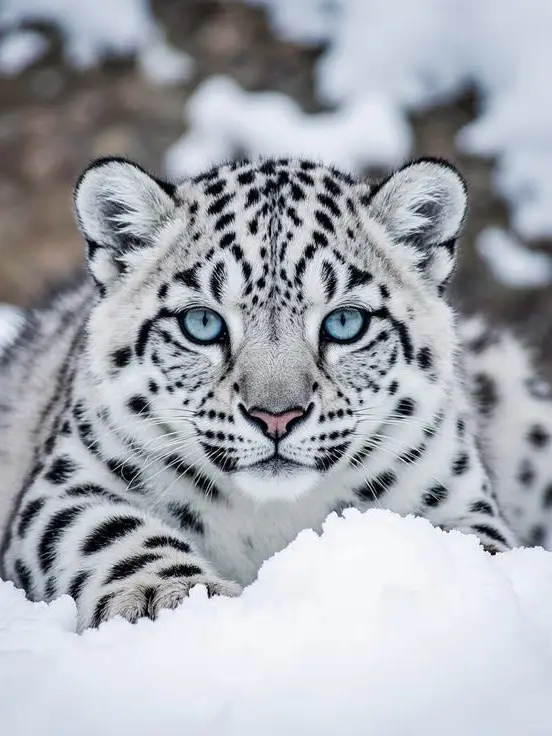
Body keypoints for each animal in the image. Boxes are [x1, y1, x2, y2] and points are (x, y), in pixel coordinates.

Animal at [1, 155, 551, 632]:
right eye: (202, 323)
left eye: (345, 322)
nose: (276, 417)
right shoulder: (71, 481)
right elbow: (111, 532)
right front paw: (168, 600)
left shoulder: (453, 494)